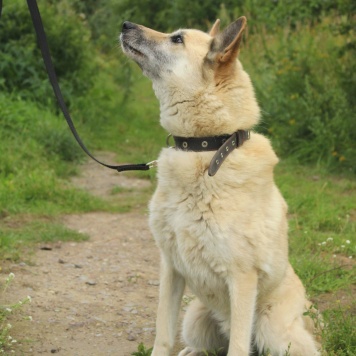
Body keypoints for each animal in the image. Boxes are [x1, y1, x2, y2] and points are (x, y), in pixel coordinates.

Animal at [121, 16, 322, 354]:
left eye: (177, 39)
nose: (124, 25)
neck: (207, 148)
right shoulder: (171, 268)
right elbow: (163, 334)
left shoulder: (241, 278)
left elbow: (238, 346)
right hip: (195, 317)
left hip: (272, 330)